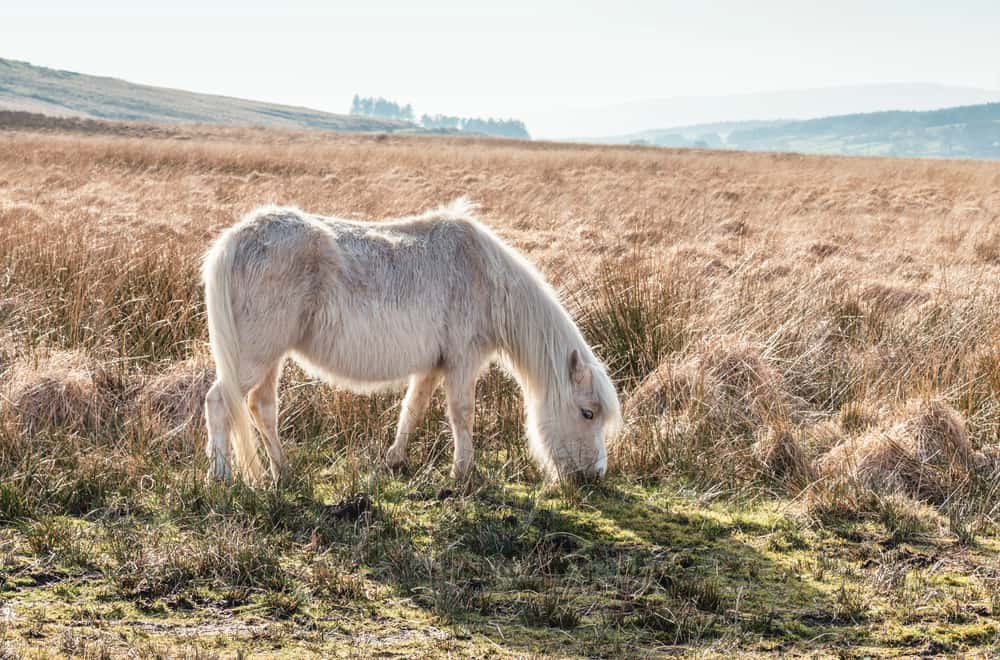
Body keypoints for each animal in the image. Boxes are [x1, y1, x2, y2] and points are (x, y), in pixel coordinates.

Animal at [201, 199, 621, 485]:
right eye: (588, 413)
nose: (594, 475)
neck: (485, 277)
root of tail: (235, 239)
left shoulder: (432, 367)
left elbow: (412, 410)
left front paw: (394, 460)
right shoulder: (462, 361)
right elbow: (462, 413)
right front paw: (463, 472)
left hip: (271, 358)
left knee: (261, 408)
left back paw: (282, 471)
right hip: (255, 356)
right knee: (219, 401)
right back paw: (221, 476)